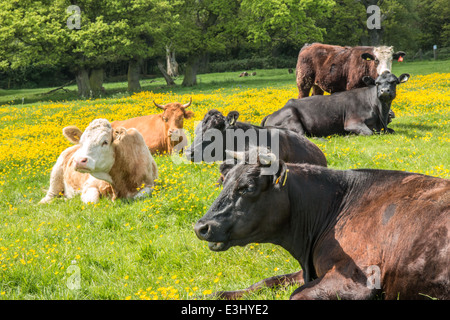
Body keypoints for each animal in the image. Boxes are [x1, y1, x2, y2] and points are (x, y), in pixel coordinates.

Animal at [262, 71, 410, 136]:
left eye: (394, 82)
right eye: (377, 83)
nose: (384, 91)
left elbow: (391, 131)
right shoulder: (352, 122)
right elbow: (369, 133)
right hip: (292, 119)